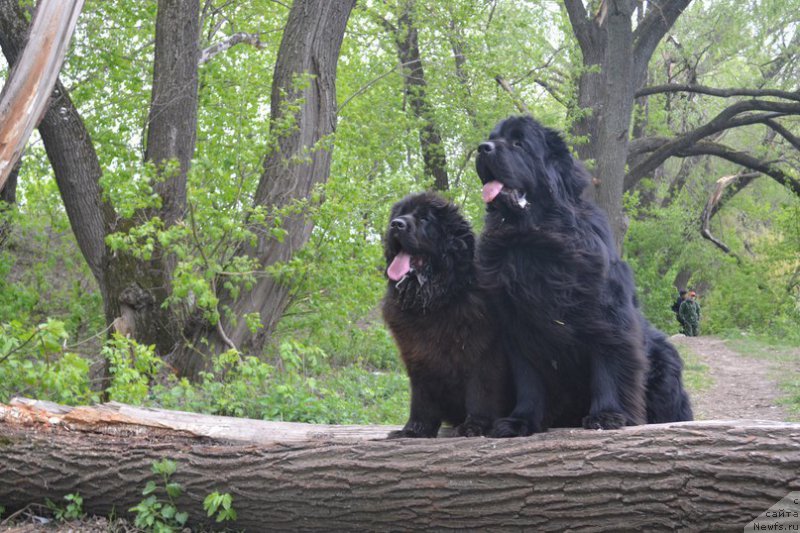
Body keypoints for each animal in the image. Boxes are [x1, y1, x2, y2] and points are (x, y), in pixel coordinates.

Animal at [382, 191, 512, 436]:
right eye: (398, 214)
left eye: (425, 219)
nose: (396, 224)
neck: (435, 300)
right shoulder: (418, 356)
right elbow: (422, 398)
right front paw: (415, 429)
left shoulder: (483, 354)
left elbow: (481, 393)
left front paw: (474, 426)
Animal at [476, 114, 692, 434]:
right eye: (492, 138)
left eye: (519, 143)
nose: (482, 148)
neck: (530, 242)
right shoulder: (518, 330)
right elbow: (528, 380)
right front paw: (520, 421)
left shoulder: (607, 320)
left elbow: (608, 366)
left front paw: (607, 416)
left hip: (665, 358)